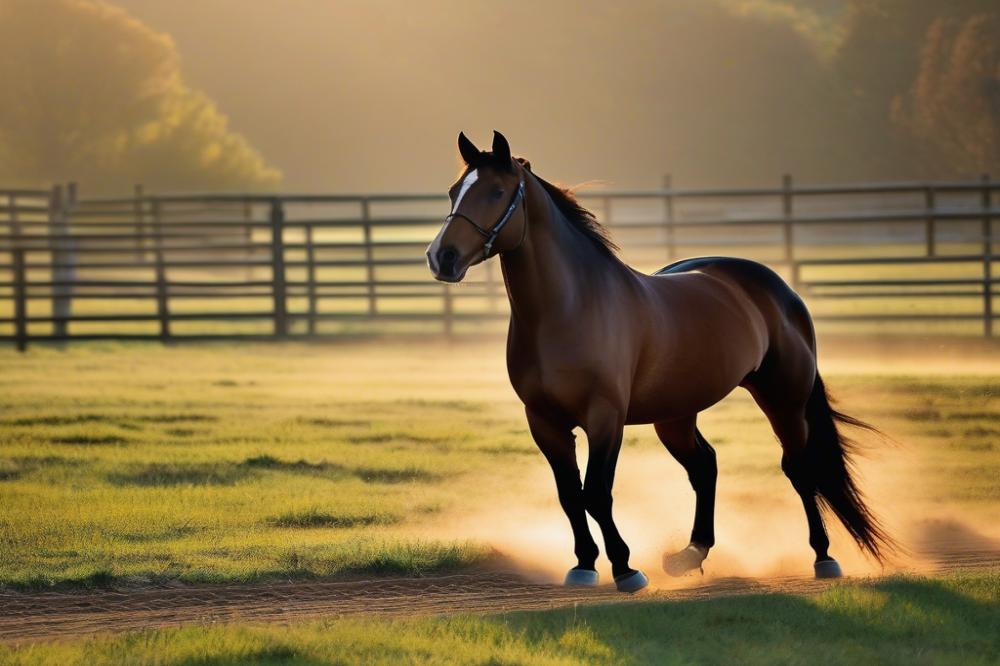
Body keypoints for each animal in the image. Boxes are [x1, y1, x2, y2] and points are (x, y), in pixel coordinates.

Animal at [426, 131, 896, 592]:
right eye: (454, 190)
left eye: (496, 191)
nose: (441, 257)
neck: (568, 309)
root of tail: (778, 289)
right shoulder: (544, 421)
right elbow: (570, 495)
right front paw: (584, 564)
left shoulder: (605, 417)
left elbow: (596, 492)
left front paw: (625, 568)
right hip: (675, 416)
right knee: (705, 466)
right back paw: (690, 554)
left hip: (784, 401)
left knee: (798, 469)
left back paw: (823, 556)